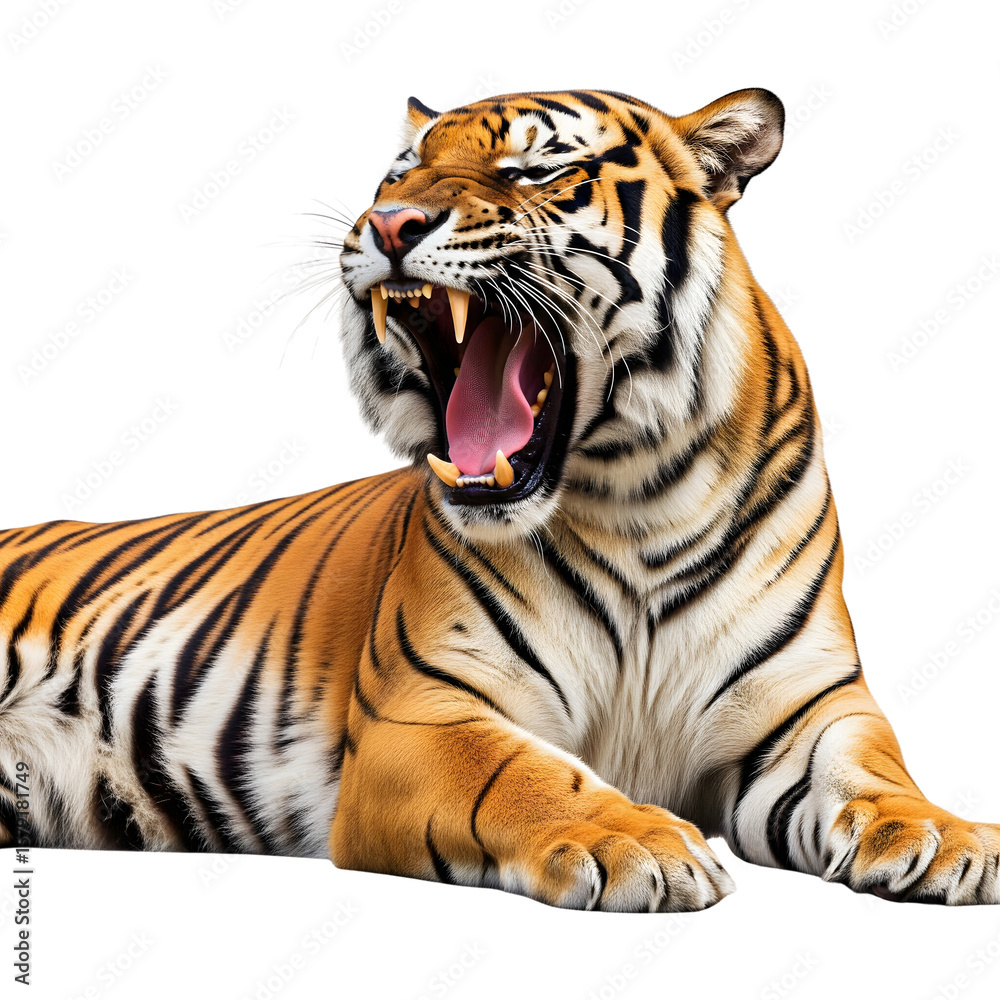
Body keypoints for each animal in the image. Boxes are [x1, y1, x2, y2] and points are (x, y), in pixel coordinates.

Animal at [1, 87, 997, 912]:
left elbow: (874, 773)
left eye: (537, 170)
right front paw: (636, 841)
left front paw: (948, 838)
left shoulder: (809, 708)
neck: (640, 501)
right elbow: (527, 777)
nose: (388, 223)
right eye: (395, 175)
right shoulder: (425, 713)